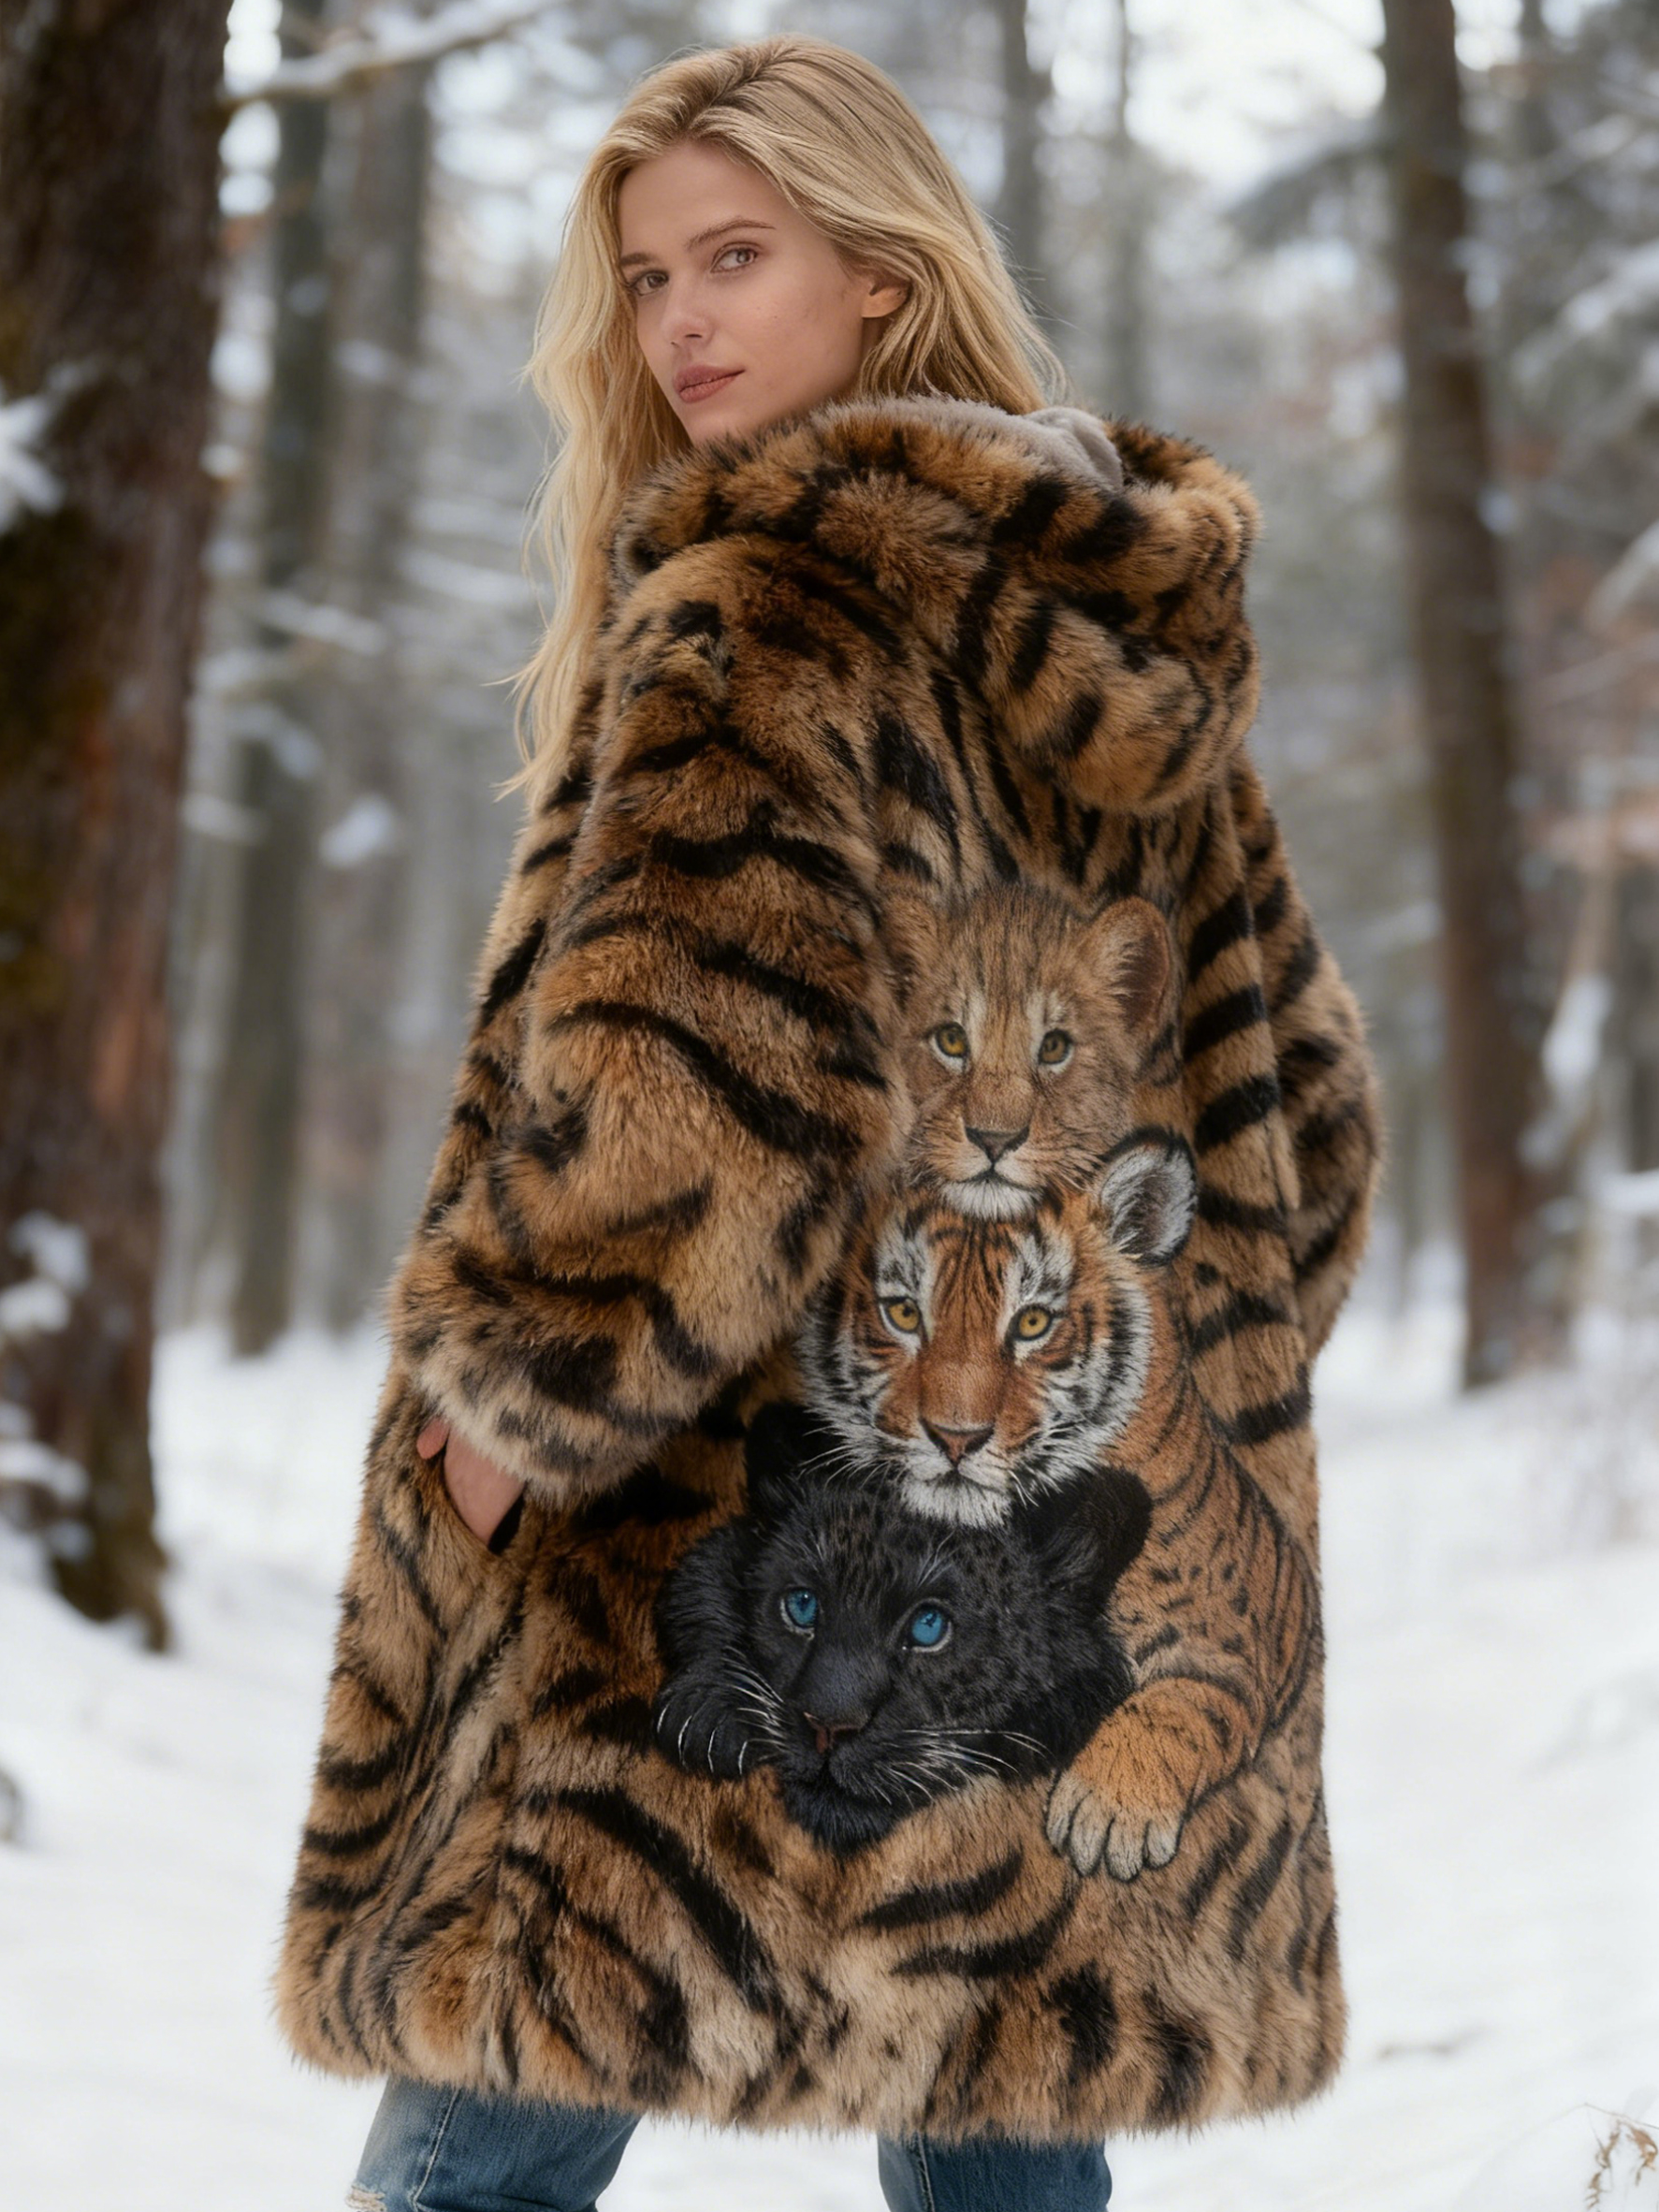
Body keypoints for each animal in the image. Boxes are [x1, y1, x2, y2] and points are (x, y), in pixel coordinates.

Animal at [797, 1134, 1319, 1883]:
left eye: (1033, 1323)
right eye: (903, 1314)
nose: (955, 1437)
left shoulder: (1222, 1649)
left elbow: (1174, 1706)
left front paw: (1108, 1812)